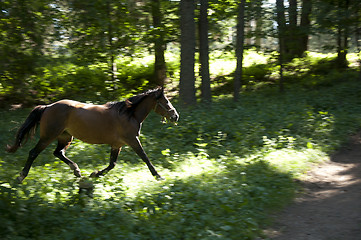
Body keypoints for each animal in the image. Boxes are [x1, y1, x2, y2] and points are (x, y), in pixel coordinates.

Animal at [6, 87, 178, 183]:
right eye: (166, 101)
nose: (175, 116)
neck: (129, 114)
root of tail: (48, 106)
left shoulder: (117, 144)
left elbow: (112, 164)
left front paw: (94, 174)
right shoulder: (132, 140)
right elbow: (145, 158)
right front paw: (158, 176)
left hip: (65, 137)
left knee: (58, 153)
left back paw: (76, 171)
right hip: (48, 136)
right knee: (33, 153)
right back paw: (21, 176)